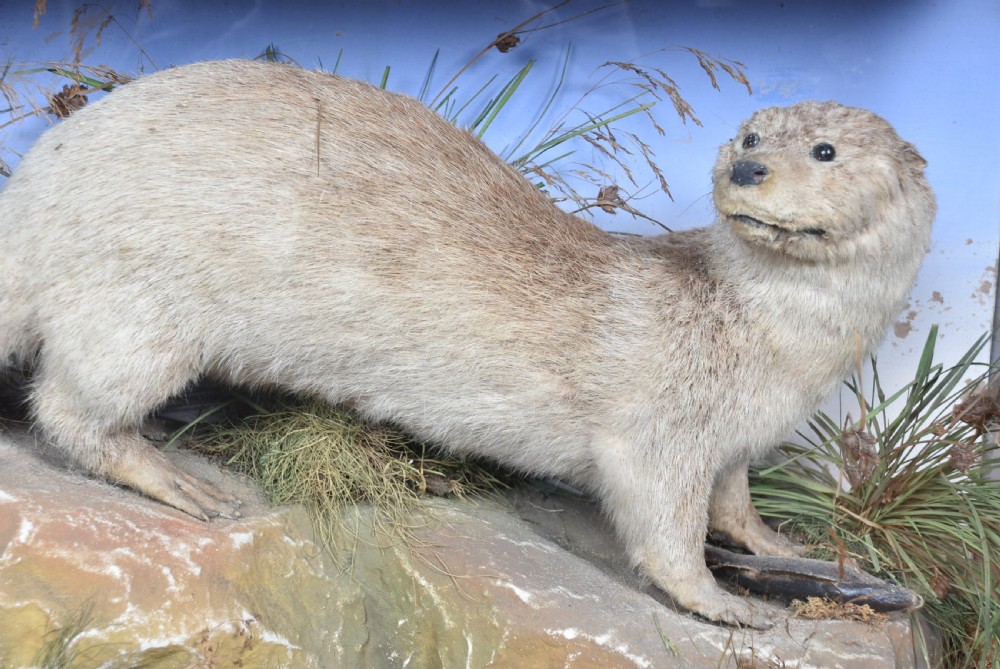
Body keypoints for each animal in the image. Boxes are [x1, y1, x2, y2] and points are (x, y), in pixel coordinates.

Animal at [0, 60, 933, 627]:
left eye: (825, 148)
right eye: (750, 136)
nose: (746, 170)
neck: (768, 343)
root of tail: (38, 182)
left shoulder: (736, 439)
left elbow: (733, 503)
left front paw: (780, 546)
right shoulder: (659, 429)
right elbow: (662, 525)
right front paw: (726, 602)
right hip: (137, 308)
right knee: (65, 406)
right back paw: (178, 479)